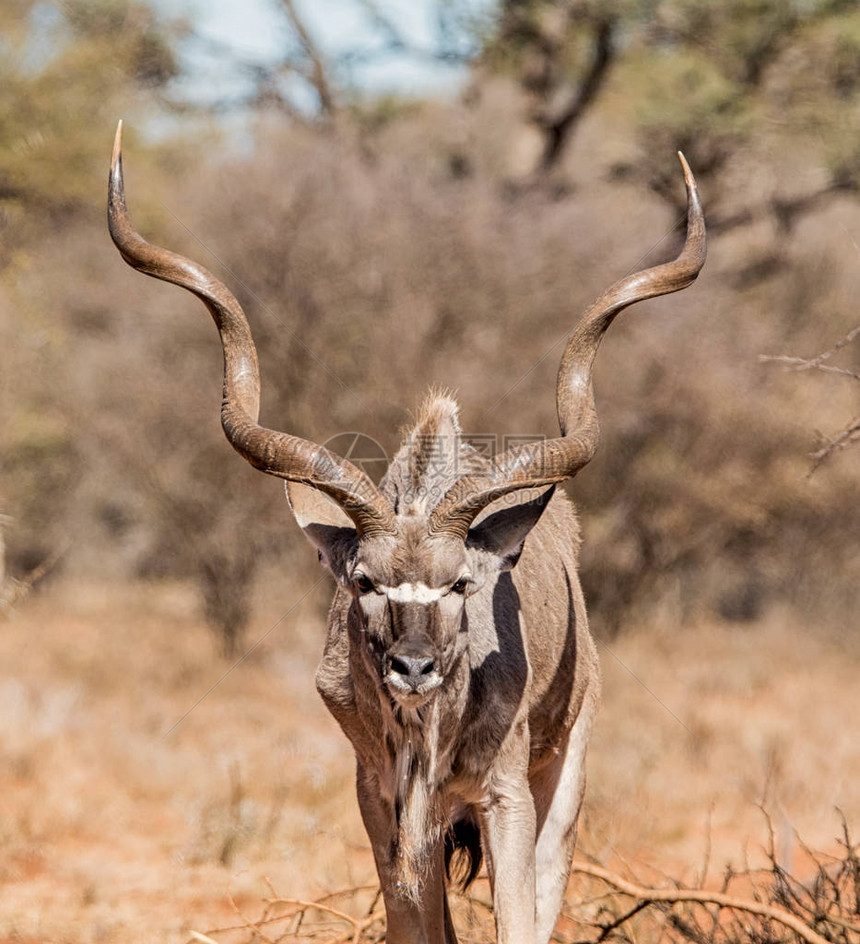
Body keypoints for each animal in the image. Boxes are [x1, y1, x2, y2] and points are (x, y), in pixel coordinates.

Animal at [107, 121, 704, 940]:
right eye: (365, 581)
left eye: (460, 584)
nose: (413, 669)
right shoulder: (380, 798)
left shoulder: (505, 793)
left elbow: (520, 920)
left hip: (566, 769)